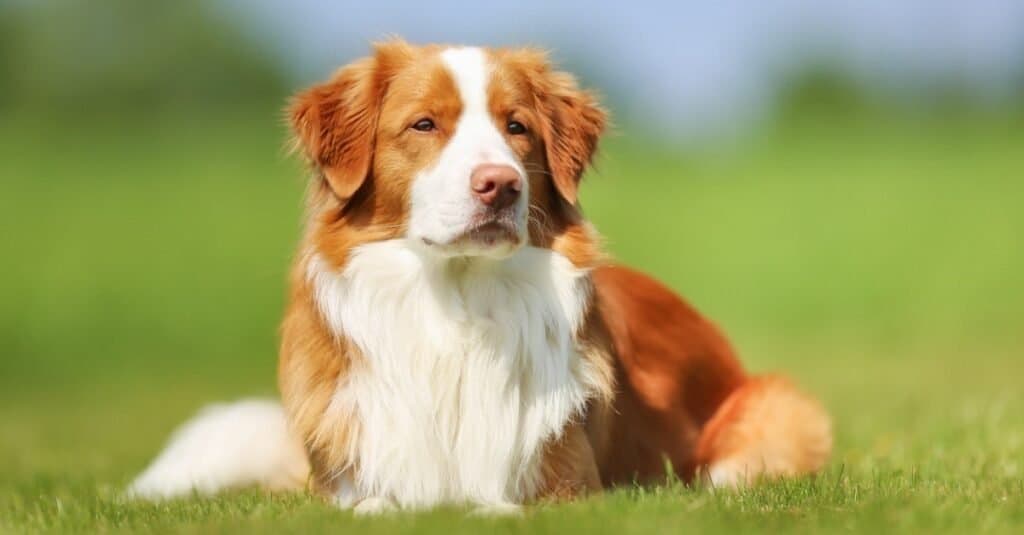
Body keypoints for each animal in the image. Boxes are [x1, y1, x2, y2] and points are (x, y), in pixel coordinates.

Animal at [130, 38, 831, 512]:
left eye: (517, 127)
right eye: (423, 124)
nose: (501, 184)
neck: (457, 307)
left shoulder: (569, 481)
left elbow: (503, 502)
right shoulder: (350, 480)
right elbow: (375, 504)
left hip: (773, 413)